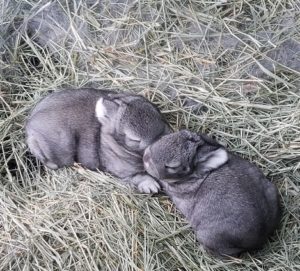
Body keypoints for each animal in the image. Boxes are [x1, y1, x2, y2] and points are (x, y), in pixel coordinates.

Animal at [25, 88, 171, 193]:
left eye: (160, 116)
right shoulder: (123, 173)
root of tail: (30, 124)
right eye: (134, 139)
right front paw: (152, 186)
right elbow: (138, 177)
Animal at [143, 131, 282, 258]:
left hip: (208, 236)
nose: (145, 157)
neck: (196, 174)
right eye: (166, 137)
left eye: (172, 166)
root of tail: (260, 236)